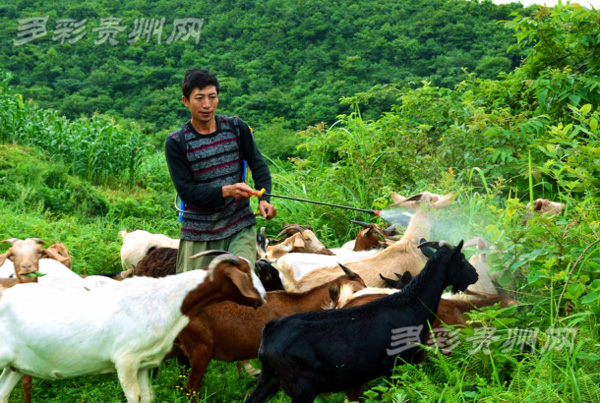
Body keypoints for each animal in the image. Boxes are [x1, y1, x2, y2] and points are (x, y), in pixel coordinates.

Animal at [245, 241, 478, 402]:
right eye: (461, 259)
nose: (475, 275)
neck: (411, 302)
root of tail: (268, 336)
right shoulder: (396, 364)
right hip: (302, 387)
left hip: (269, 379)